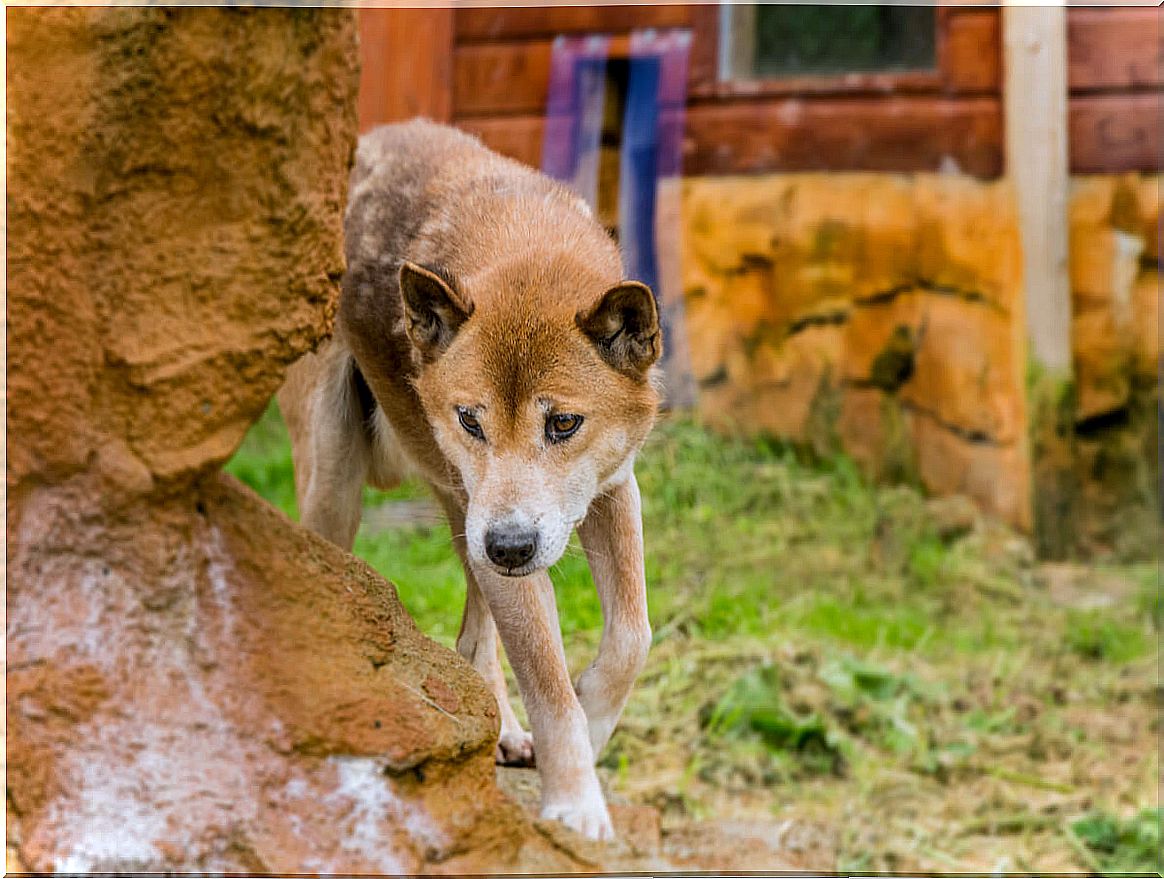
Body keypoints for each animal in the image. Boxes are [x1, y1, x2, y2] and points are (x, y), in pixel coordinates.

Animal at [278, 118, 665, 838]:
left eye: (564, 423)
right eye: (469, 419)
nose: (510, 546)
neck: (528, 243)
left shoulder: (611, 490)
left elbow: (631, 636)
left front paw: (594, 729)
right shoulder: (502, 539)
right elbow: (548, 681)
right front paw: (575, 805)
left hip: (466, 514)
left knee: (473, 632)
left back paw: (503, 726)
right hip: (340, 490)